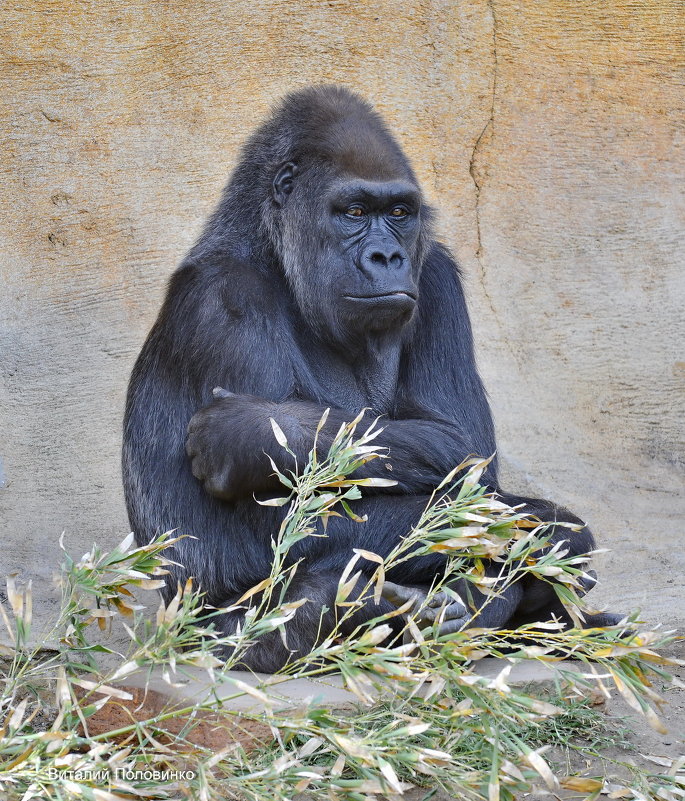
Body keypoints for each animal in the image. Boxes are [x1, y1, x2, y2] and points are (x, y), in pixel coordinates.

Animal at [123, 84, 620, 672]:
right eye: (354, 211)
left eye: (399, 212)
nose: (387, 255)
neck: (271, 251)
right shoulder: (223, 300)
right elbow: (283, 523)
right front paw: (536, 534)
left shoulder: (437, 275)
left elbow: (465, 451)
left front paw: (247, 433)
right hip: (204, 643)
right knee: (314, 598)